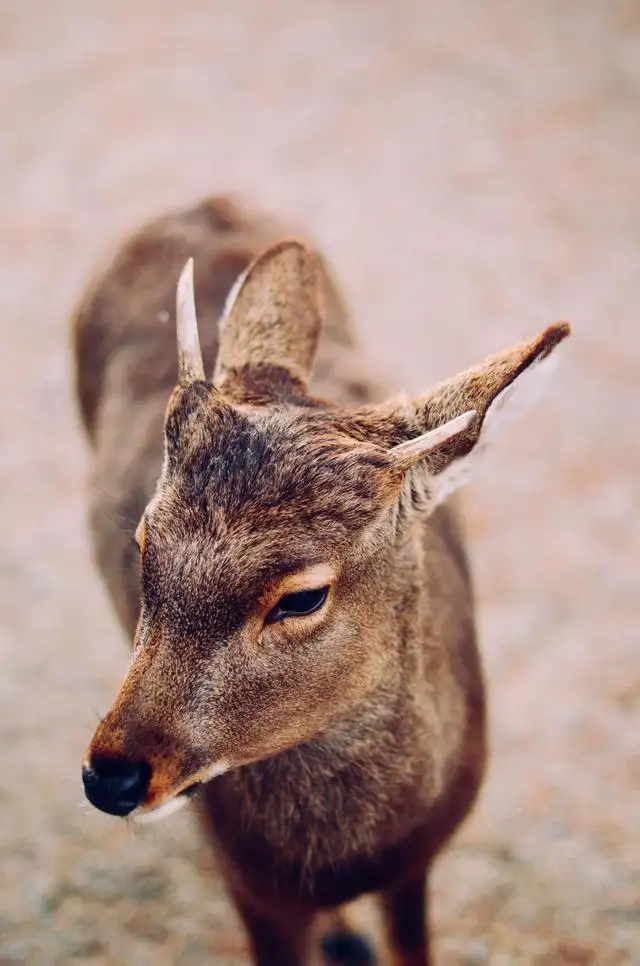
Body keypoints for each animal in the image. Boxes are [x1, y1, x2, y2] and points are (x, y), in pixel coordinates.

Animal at [71, 193, 568, 964]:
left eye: (303, 596)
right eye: (144, 539)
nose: (111, 776)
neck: (351, 854)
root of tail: (201, 202)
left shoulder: (418, 861)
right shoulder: (249, 885)